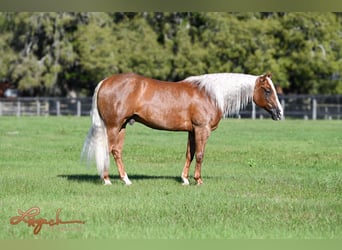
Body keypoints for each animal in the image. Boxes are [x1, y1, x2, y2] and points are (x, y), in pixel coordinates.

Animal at [81, 72, 282, 186]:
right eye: (267, 90)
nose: (279, 113)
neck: (210, 94)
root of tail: (105, 81)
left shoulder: (192, 131)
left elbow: (189, 154)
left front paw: (185, 179)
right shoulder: (202, 129)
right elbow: (200, 155)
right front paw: (198, 180)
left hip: (122, 126)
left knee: (117, 151)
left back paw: (125, 179)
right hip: (114, 126)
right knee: (109, 150)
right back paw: (108, 180)